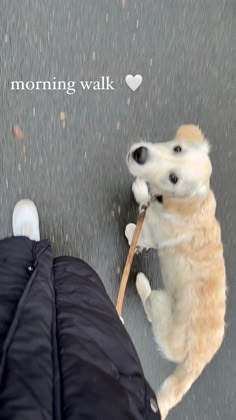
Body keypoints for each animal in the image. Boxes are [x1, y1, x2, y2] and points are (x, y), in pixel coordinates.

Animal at [125, 125, 227, 420]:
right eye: (177, 148)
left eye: (174, 179)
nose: (140, 154)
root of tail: (198, 360)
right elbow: (146, 199)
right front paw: (141, 188)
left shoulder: (151, 234)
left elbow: (138, 231)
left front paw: (131, 233)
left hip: (162, 305)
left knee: (150, 304)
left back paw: (141, 282)